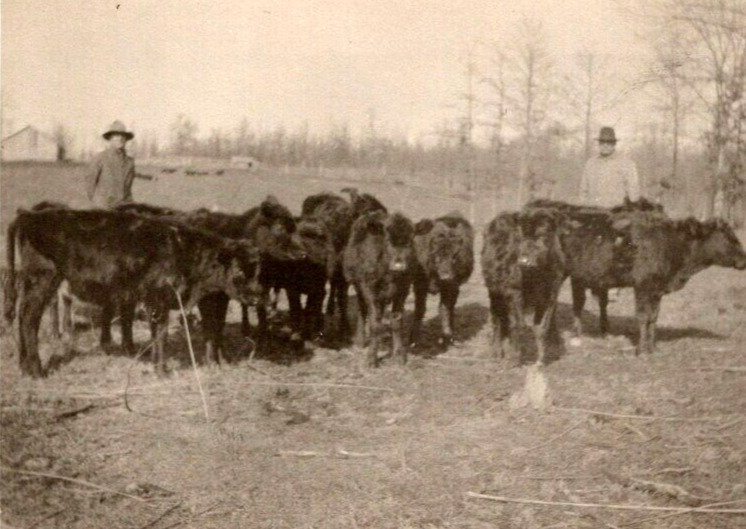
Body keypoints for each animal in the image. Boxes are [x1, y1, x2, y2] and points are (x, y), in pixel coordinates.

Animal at [4, 206, 260, 376]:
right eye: (239, 271)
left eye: (258, 270)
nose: (258, 297)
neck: (183, 249)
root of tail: (30, 215)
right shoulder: (158, 299)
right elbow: (161, 334)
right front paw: (163, 371)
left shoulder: (156, 302)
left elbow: (158, 334)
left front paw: (157, 366)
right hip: (42, 280)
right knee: (29, 320)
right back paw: (36, 370)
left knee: (22, 317)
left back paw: (24, 367)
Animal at [342, 208, 412, 366]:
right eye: (388, 240)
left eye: (410, 241)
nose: (399, 265)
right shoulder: (370, 290)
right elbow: (375, 324)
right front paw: (371, 359)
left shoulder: (402, 292)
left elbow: (397, 322)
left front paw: (399, 356)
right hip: (359, 287)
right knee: (363, 311)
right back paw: (360, 340)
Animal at [406, 212, 470, 348]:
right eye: (436, 255)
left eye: (455, 256)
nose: (446, 276)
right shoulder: (420, 285)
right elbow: (420, 309)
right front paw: (413, 340)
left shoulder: (451, 286)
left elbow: (445, 308)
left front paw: (447, 337)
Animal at [482, 208, 564, 366]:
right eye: (519, 237)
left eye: (541, 234)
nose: (524, 261)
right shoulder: (514, 292)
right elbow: (518, 325)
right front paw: (514, 359)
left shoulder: (550, 295)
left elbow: (541, 327)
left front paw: (540, 360)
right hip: (494, 291)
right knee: (497, 319)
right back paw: (496, 353)